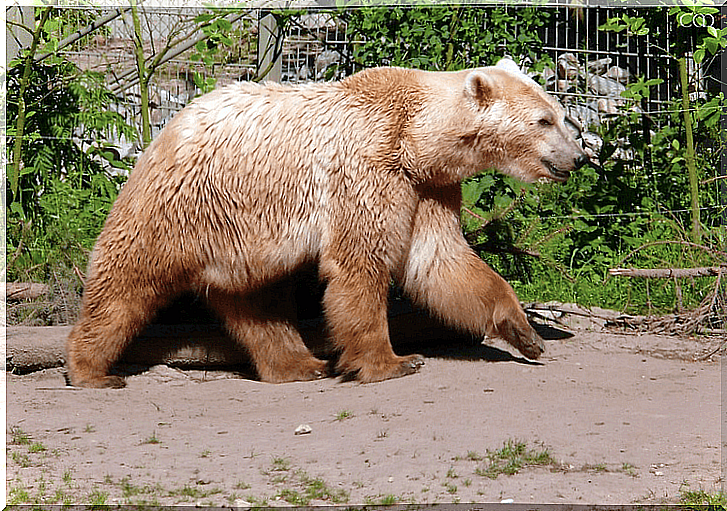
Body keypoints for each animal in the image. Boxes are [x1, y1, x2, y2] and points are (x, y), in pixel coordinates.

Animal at [65, 60, 588, 388]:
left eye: (562, 115)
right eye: (544, 120)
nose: (578, 158)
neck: (416, 139)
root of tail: (168, 127)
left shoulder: (429, 188)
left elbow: (440, 260)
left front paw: (526, 333)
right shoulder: (368, 168)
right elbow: (360, 263)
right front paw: (394, 361)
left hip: (242, 235)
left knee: (256, 302)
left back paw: (300, 363)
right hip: (183, 203)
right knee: (127, 276)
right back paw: (92, 369)